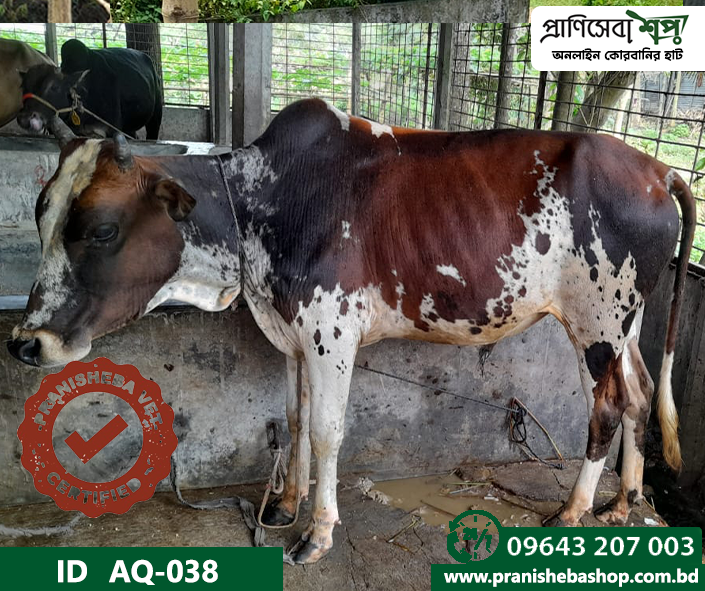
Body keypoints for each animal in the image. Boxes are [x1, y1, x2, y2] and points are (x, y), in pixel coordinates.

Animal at [7, 98, 695, 564]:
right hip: (627, 323)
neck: (261, 207)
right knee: (638, 397)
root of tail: (657, 169)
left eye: (101, 228)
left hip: (595, 321)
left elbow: (327, 432)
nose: (25, 342)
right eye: (43, 215)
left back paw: (574, 510)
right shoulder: (289, 335)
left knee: (607, 408)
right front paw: (284, 504)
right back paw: (624, 501)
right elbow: (294, 417)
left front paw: (315, 533)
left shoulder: (330, 333)